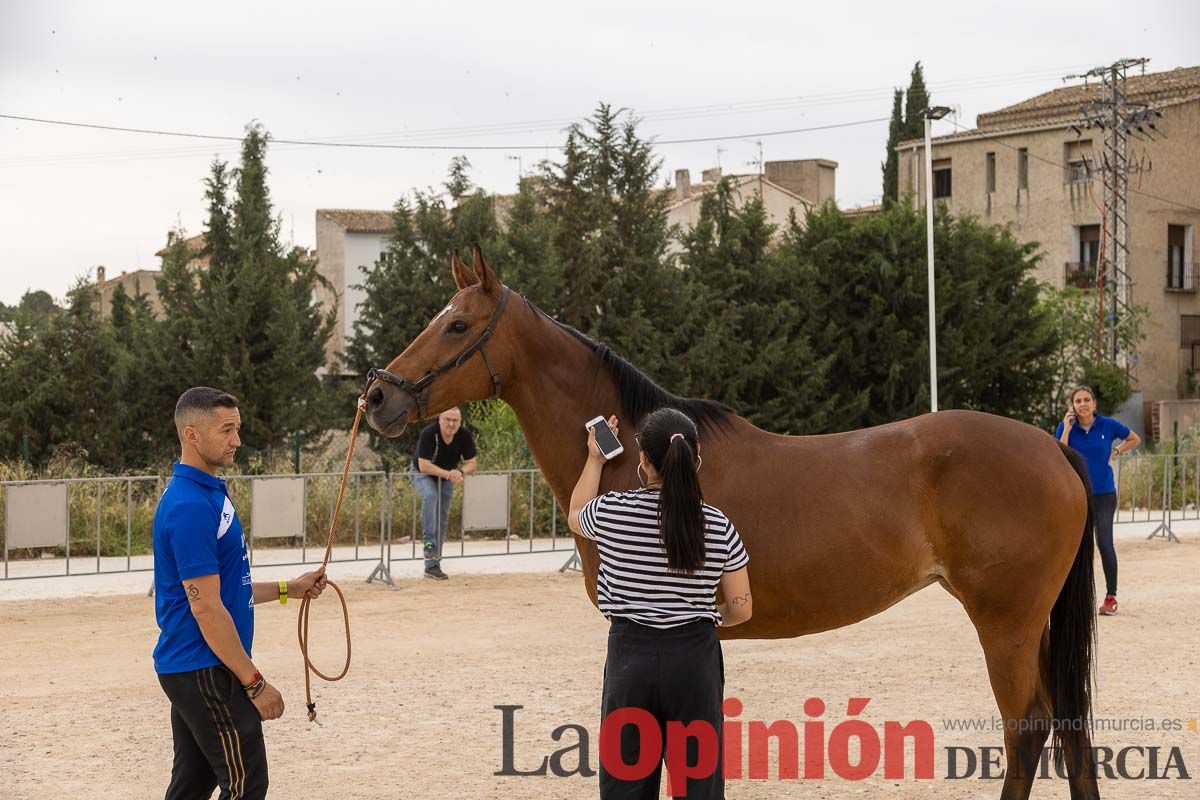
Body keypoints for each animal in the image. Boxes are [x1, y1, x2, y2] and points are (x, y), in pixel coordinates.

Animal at [360, 247, 1099, 796]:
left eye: (457, 326)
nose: (377, 397)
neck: (643, 454)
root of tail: (1053, 446)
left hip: (1006, 622)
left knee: (1027, 728)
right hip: (1033, 624)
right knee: (1067, 725)